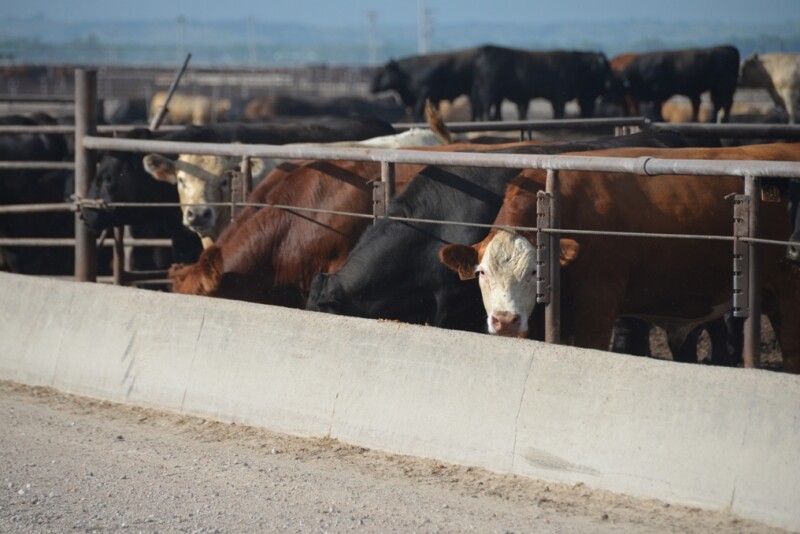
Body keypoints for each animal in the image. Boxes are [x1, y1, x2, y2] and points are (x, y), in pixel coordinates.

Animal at [471, 45, 614, 121]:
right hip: (490, 91)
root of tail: (486, 50)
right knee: (487, 105)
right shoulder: (561, 94)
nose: (611, 81)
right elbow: (559, 111)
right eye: (605, 68)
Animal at [611, 45, 740, 123]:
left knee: (725, 102)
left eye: (616, 83)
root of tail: (729, 48)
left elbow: (657, 110)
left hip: (725, 86)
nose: (614, 99)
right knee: (715, 103)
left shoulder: (657, 93)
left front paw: (660, 119)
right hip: (715, 88)